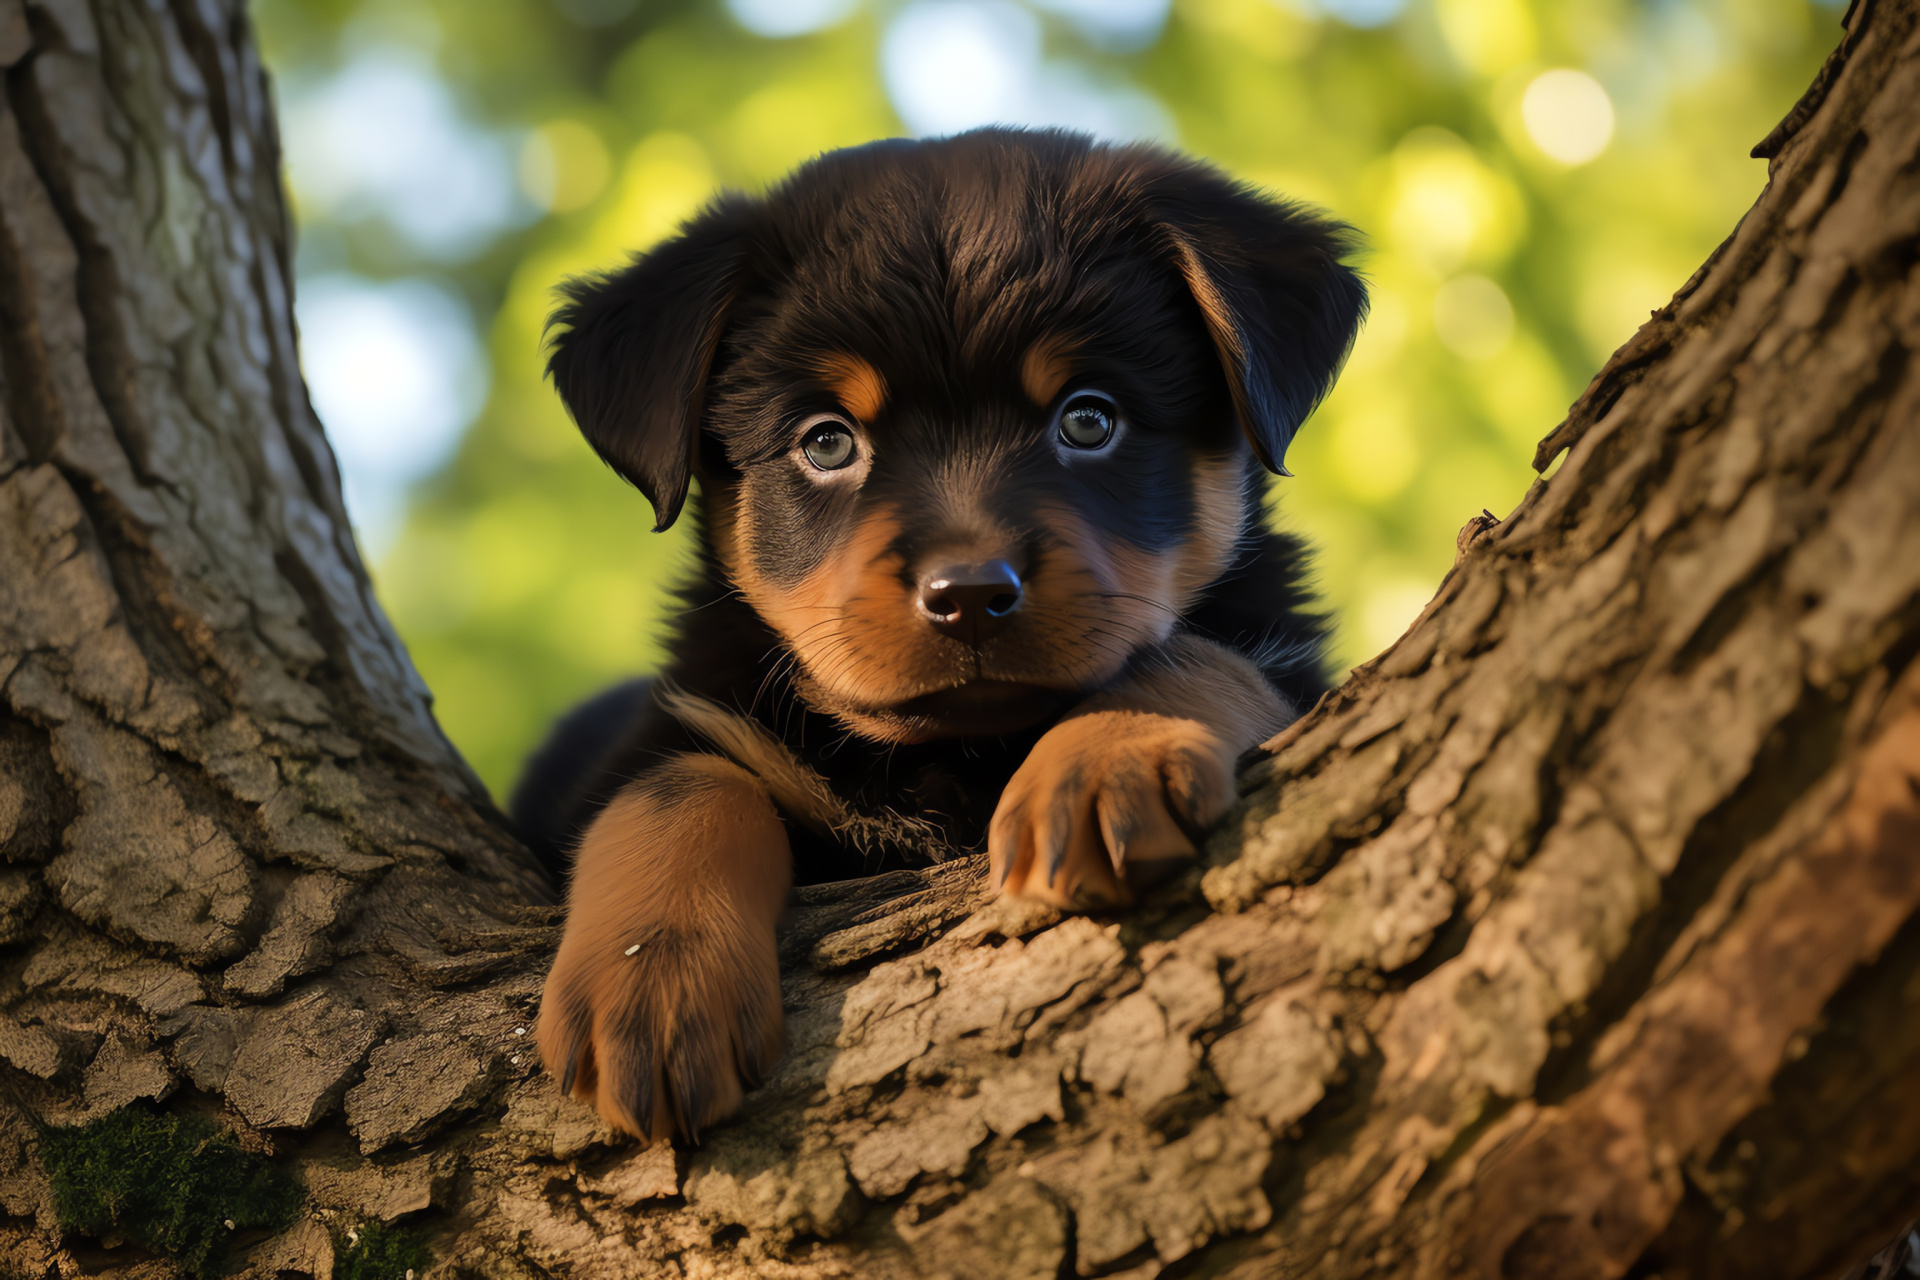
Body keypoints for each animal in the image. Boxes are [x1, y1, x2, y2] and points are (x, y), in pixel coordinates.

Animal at [514, 127, 1367, 1143]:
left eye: (1090, 419)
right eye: (827, 442)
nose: (968, 596)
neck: (953, 756)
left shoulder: (1294, 670)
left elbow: (1193, 652)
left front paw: (1103, 761)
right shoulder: (689, 717)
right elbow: (679, 783)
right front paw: (654, 975)